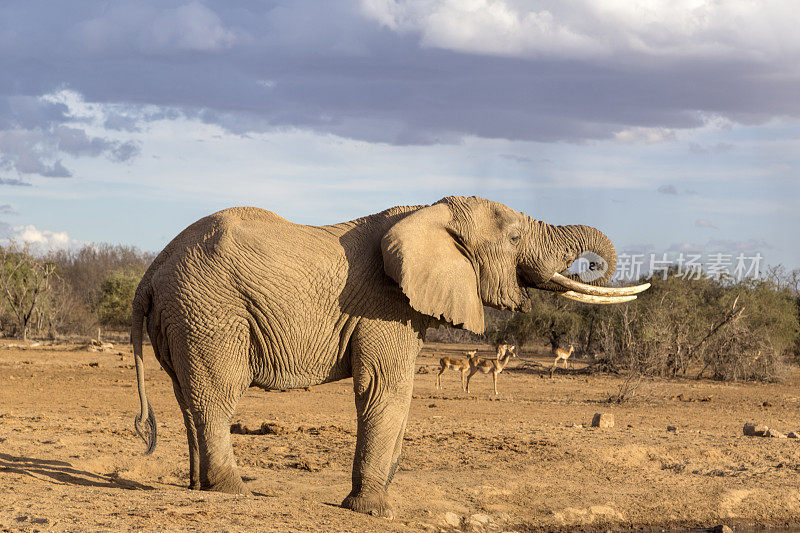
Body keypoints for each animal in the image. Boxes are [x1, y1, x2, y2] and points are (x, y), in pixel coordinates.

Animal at [128, 194, 648, 516]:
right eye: (516, 239)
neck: (428, 212)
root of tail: (151, 271)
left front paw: (381, 494)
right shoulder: (382, 305)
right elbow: (385, 388)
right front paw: (375, 510)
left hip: (184, 317)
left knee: (187, 396)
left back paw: (198, 486)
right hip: (211, 311)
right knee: (216, 394)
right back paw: (234, 491)